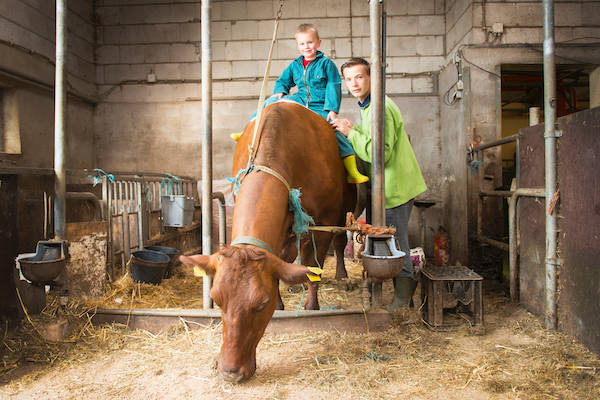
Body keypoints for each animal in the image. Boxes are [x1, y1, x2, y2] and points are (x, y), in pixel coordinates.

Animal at [180, 101, 354, 382]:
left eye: (262, 303)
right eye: (216, 298)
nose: (229, 371)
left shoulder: (324, 222)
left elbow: (313, 267)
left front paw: (311, 305)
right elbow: (283, 261)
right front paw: (283, 300)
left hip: (347, 209)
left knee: (339, 244)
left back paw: (342, 275)